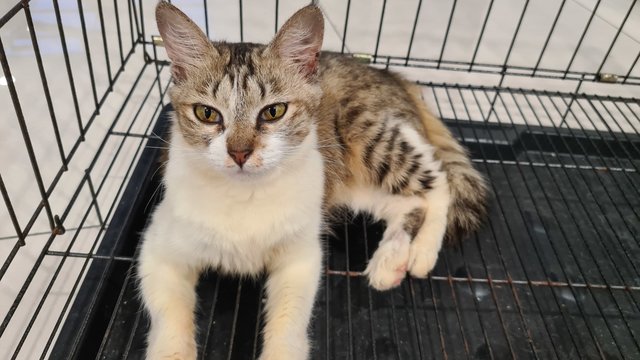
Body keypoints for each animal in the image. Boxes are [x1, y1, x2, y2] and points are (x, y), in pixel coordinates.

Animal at [140, 1, 488, 358]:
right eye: (207, 113)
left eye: (273, 111)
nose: (239, 152)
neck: (245, 195)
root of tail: (390, 74)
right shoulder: (160, 248)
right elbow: (169, 318)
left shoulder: (301, 255)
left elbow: (288, 322)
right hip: (347, 185)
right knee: (406, 202)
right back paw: (390, 259)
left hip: (367, 133)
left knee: (437, 182)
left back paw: (421, 253)